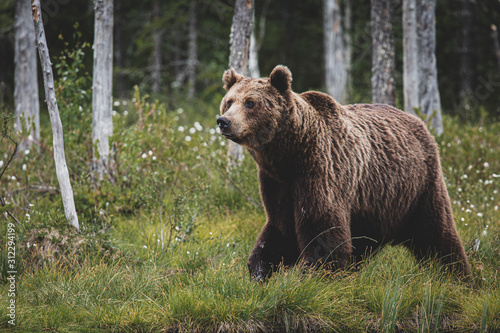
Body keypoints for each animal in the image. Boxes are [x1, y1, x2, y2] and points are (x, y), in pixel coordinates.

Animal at [217, 63, 470, 278]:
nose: (223, 121)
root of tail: (418, 122)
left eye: (250, 102)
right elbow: (281, 228)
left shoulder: (321, 170)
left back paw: (456, 274)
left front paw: (311, 274)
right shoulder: (277, 182)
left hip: (418, 186)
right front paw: (260, 269)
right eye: (229, 101)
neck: (289, 154)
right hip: (372, 206)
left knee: (436, 233)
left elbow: (322, 227)